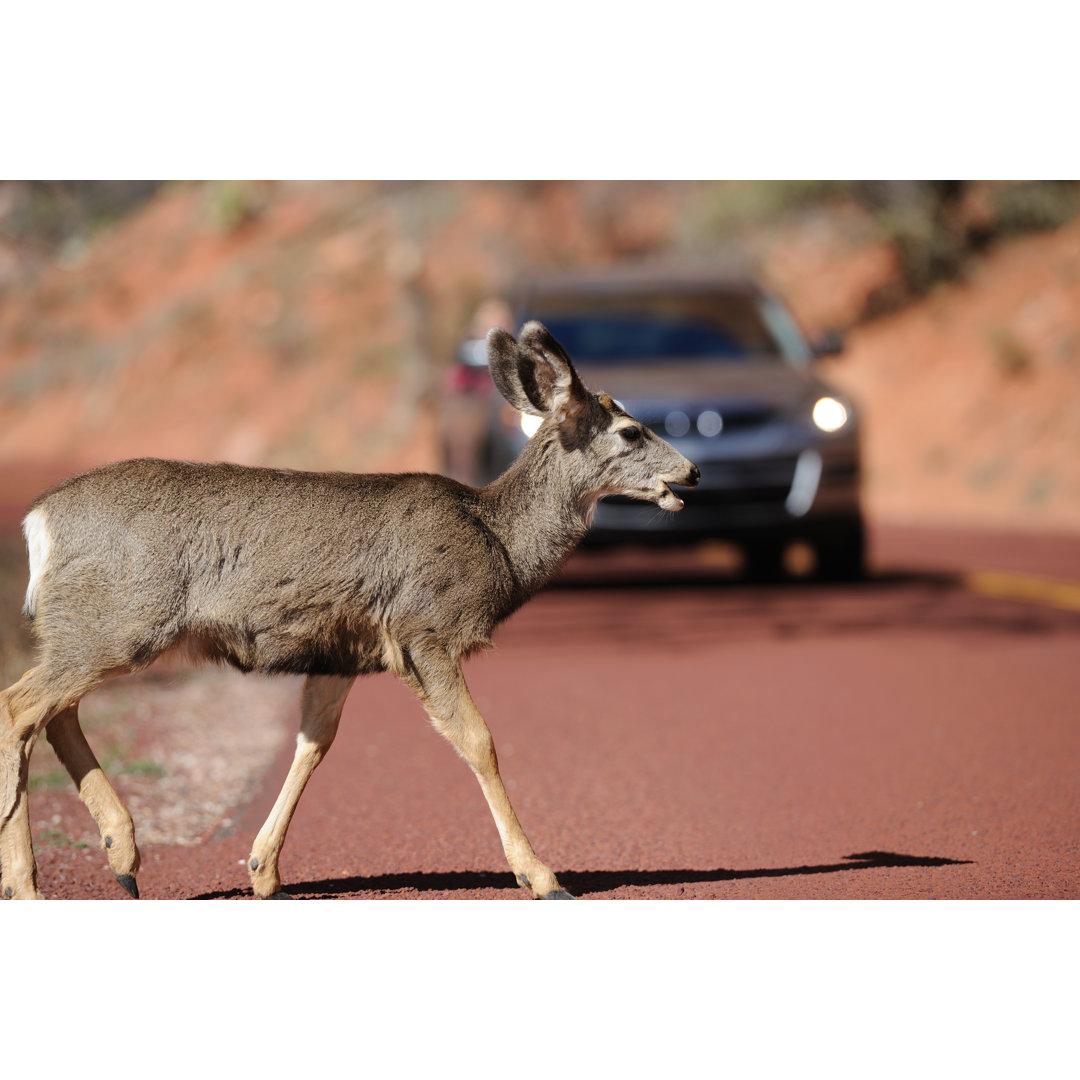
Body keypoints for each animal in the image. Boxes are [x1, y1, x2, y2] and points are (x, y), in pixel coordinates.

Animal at [0, 321, 699, 902]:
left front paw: (265, 873)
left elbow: (314, 742)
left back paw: (122, 853)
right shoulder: (423, 628)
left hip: (92, 629)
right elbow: (479, 740)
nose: (691, 473)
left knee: (54, 712)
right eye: (631, 431)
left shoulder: (342, 652)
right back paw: (29, 886)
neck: (496, 540)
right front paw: (543, 876)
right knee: (19, 706)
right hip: (118, 622)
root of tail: (38, 521)